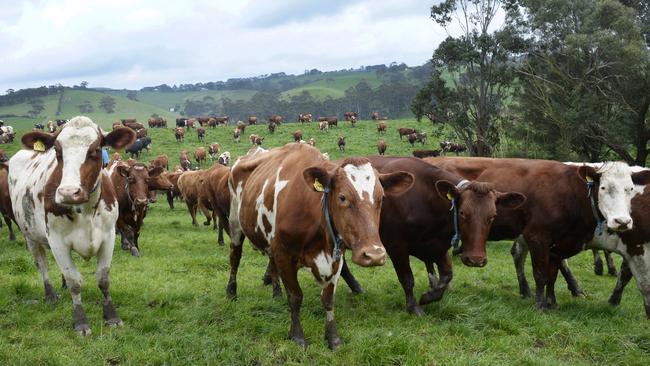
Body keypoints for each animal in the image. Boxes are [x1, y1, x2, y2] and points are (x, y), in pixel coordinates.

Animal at [7, 116, 134, 334]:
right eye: (58, 152)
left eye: (95, 150)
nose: (68, 192)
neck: (86, 210)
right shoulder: (57, 241)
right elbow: (75, 281)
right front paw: (80, 321)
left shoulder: (108, 236)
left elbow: (103, 278)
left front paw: (112, 316)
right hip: (30, 235)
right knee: (42, 264)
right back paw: (50, 295)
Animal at [228, 142, 410, 348]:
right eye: (342, 197)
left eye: (381, 198)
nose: (374, 255)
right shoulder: (284, 253)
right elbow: (295, 296)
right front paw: (297, 335)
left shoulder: (335, 257)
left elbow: (328, 299)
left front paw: (333, 337)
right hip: (235, 223)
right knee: (235, 258)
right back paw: (231, 292)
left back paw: (276, 293)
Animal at [342, 157, 524, 314]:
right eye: (463, 213)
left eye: (493, 216)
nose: (476, 260)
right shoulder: (396, 246)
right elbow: (407, 279)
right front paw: (413, 307)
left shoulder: (436, 247)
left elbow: (447, 275)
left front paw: (428, 297)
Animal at [426, 156, 648, 310]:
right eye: (603, 187)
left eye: (630, 189)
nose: (622, 222)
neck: (568, 192)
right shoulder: (537, 236)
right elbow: (541, 274)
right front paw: (541, 305)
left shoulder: (559, 244)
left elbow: (553, 274)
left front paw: (552, 302)